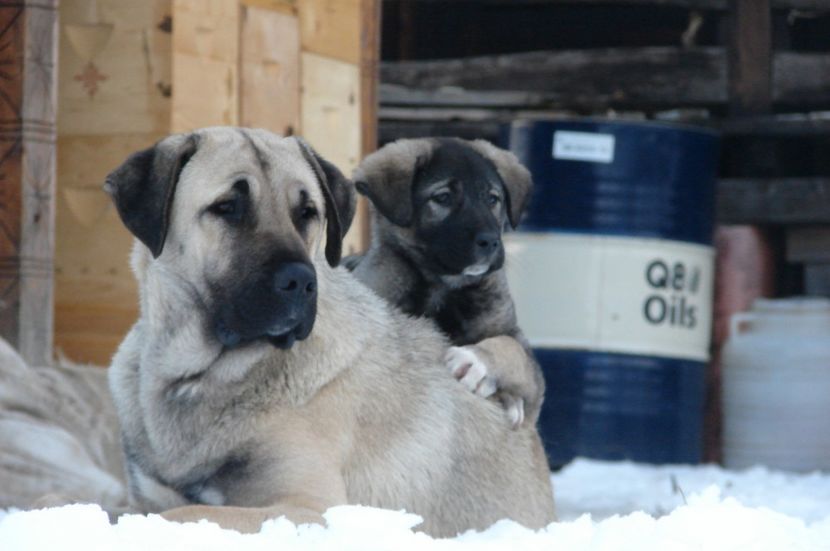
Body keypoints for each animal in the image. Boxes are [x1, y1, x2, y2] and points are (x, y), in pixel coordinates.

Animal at [346, 137, 544, 426]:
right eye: (443, 198)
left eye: (492, 199)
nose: (491, 241)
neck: (443, 286)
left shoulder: (520, 347)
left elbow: (511, 348)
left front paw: (478, 362)